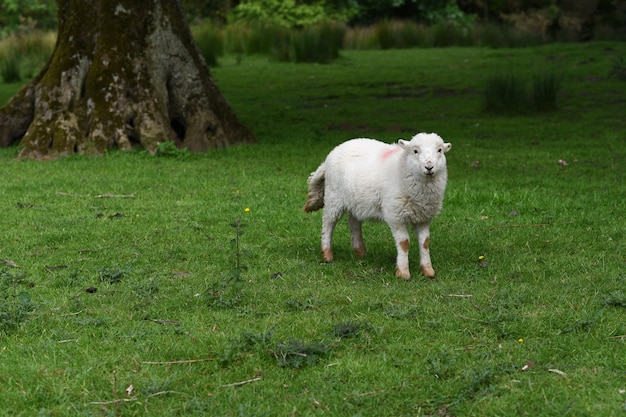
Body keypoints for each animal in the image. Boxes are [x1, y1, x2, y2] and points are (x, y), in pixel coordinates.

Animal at [302, 132, 448, 278]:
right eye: (415, 151)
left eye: (439, 150)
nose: (429, 167)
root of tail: (331, 155)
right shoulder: (395, 215)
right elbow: (404, 243)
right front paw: (403, 273)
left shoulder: (424, 217)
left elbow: (425, 243)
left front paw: (428, 271)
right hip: (334, 197)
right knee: (328, 223)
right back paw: (327, 254)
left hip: (357, 201)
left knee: (353, 222)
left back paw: (360, 251)